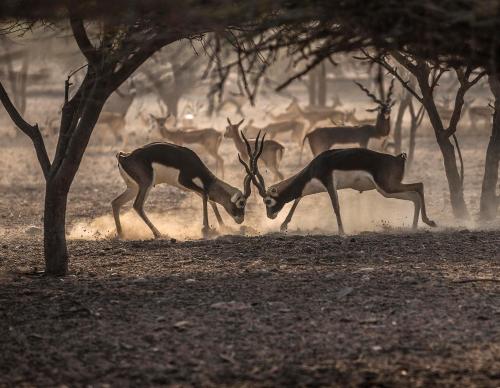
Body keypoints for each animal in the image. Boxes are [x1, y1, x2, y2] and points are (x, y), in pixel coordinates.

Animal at [111, 139, 256, 239]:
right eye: (242, 203)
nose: (241, 219)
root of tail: (124, 157)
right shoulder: (185, 181)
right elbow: (206, 195)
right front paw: (206, 229)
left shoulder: (194, 188)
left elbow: (210, 199)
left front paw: (223, 226)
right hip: (146, 185)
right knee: (137, 205)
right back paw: (158, 233)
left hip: (133, 188)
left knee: (116, 202)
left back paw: (121, 234)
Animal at [244, 135, 436, 233]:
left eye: (267, 201)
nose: (270, 216)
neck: (315, 166)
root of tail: (398, 158)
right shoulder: (312, 187)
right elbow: (298, 199)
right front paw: (284, 225)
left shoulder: (329, 183)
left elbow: (336, 207)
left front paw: (342, 232)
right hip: (387, 190)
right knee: (414, 196)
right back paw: (414, 228)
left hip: (387, 187)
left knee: (419, 186)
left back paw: (429, 222)